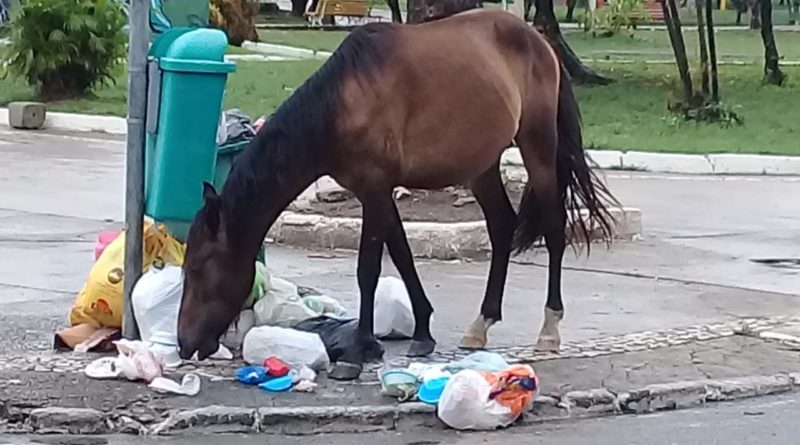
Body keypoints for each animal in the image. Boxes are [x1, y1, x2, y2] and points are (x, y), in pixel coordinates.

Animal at [178, 7, 616, 378]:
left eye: (198, 267)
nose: (184, 343)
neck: (343, 101)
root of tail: (540, 43)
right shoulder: (374, 190)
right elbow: (402, 255)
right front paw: (421, 332)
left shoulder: (374, 188)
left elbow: (369, 269)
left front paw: (357, 352)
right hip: (482, 166)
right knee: (502, 226)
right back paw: (482, 323)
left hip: (537, 144)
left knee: (555, 227)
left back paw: (549, 328)